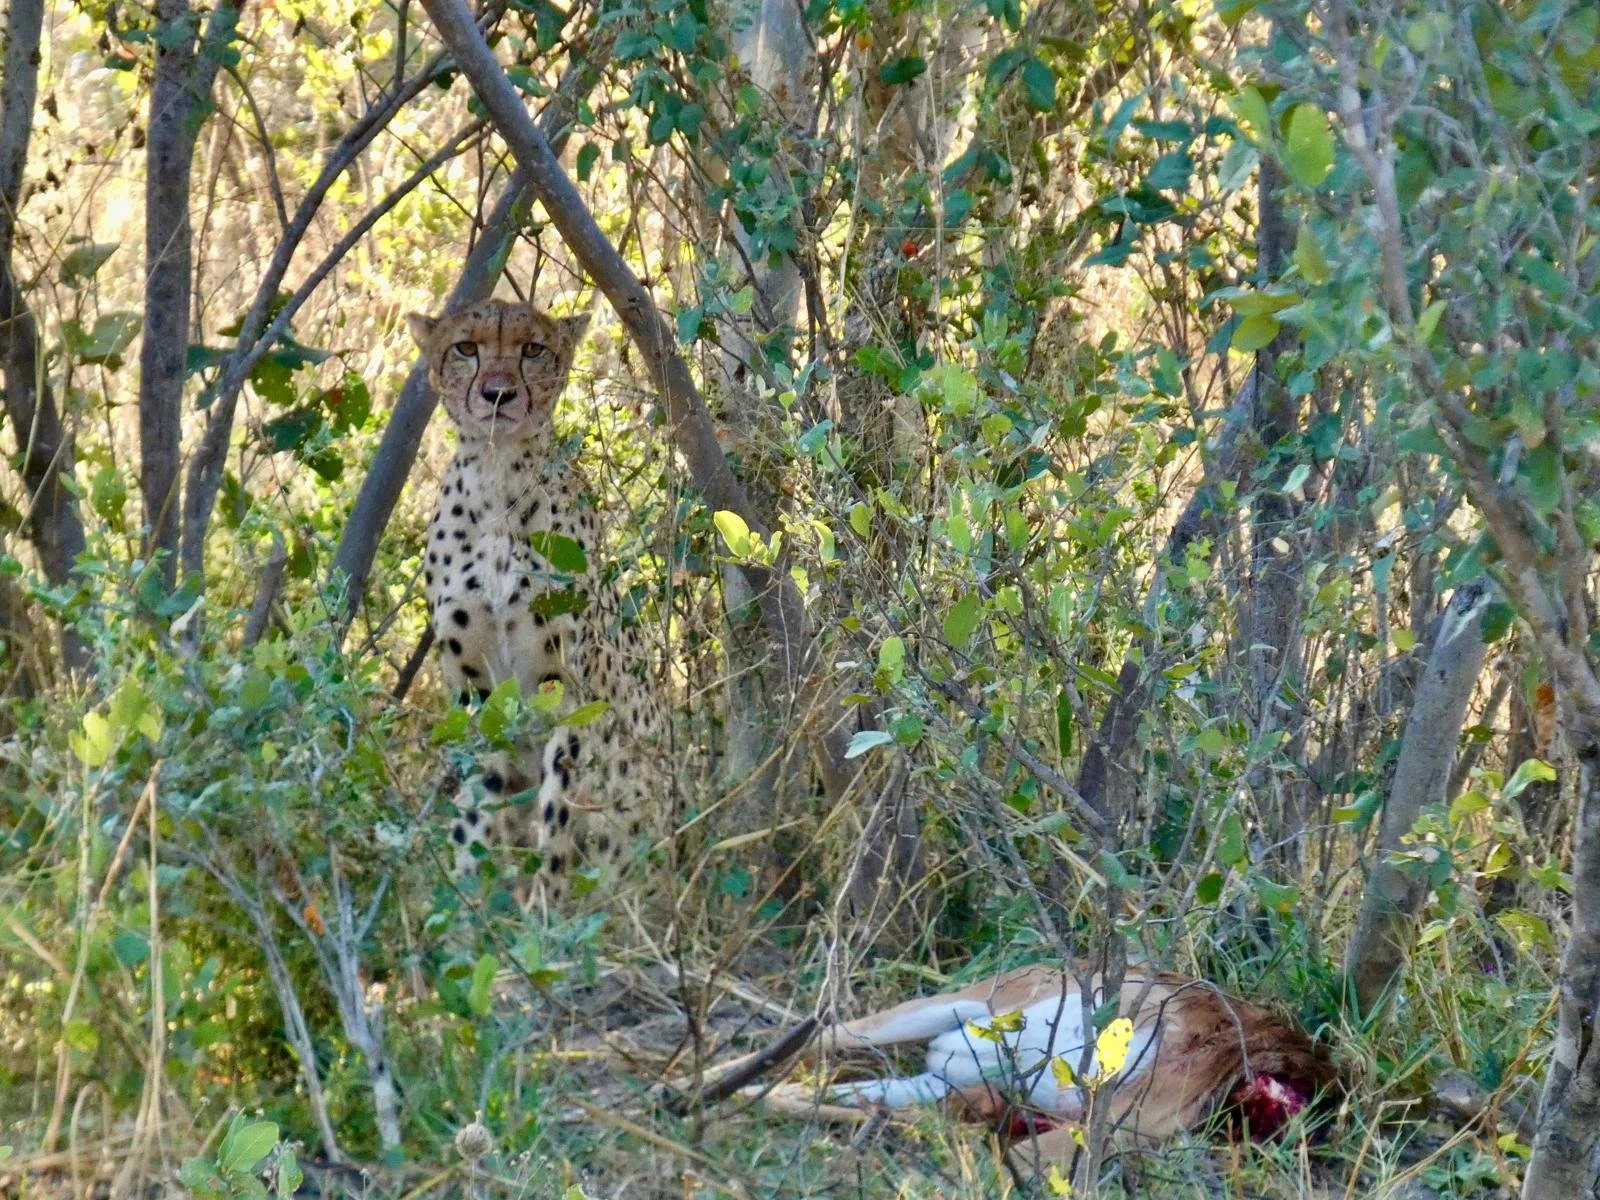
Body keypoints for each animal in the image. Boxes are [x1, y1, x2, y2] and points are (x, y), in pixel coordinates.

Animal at [406, 299, 669, 911]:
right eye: (466, 348)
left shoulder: (566, 690)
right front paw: (469, 902)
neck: (498, 483)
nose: (498, 394)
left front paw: (545, 911)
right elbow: (476, 808)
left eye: (532, 349)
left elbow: (558, 811)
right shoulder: (476, 693)